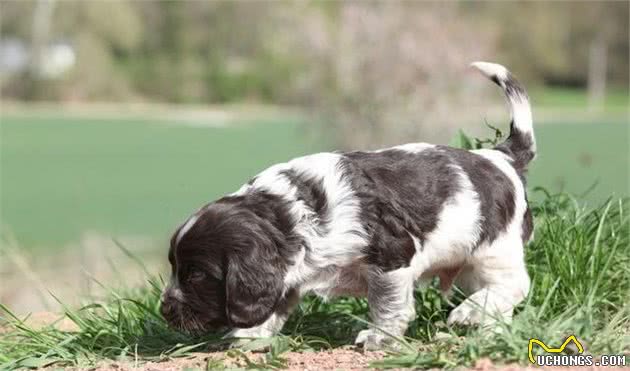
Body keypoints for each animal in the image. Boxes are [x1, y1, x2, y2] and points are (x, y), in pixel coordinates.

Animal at [160, 62, 536, 350]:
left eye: (196, 274)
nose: (164, 310)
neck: (289, 214)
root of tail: (501, 156)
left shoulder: (392, 257)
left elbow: (388, 304)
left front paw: (379, 337)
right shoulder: (287, 274)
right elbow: (272, 305)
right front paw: (249, 336)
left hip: (495, 248)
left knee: (515, 284)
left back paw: (469, 313)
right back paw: (486, 329)